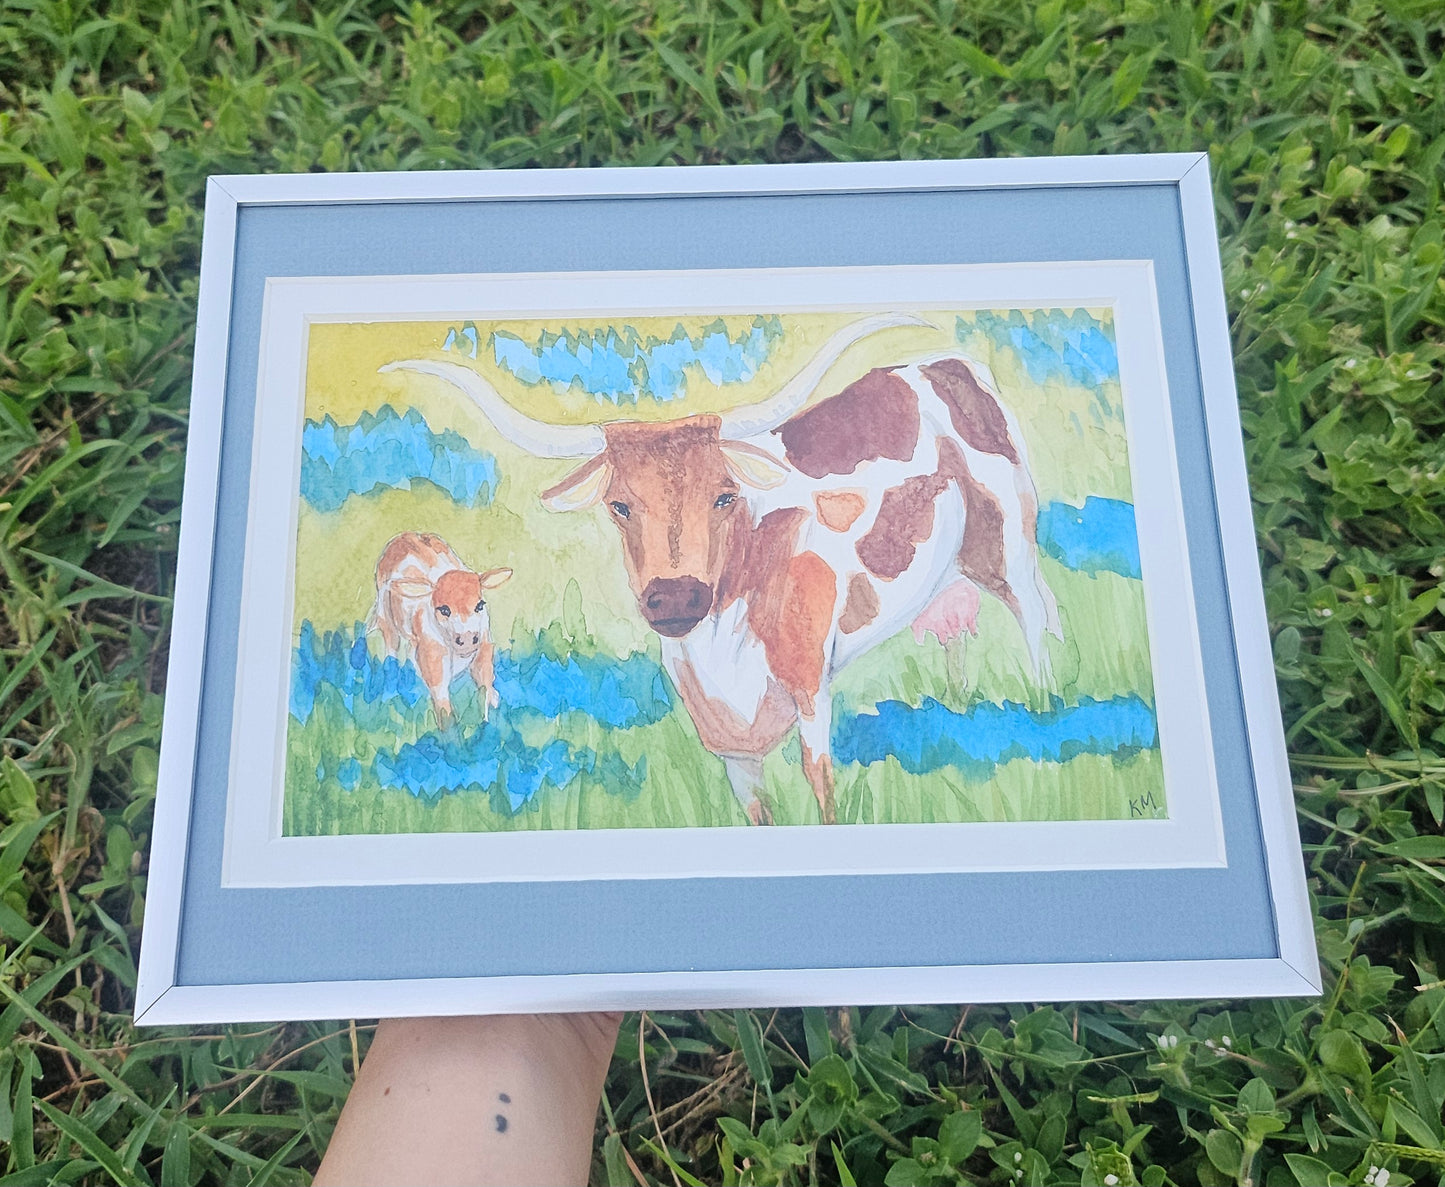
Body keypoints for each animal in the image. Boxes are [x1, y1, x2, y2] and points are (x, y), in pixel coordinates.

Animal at [384, 316, 1063, 826]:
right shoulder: (726, 738)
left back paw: (1047, 711)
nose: (676, 597)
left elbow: (821, 782)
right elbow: (757, 809)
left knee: (1035, 624)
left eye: (725, 495)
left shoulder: (809, 686)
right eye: (619, 504)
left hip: (1009, 548)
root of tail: (944, 364)